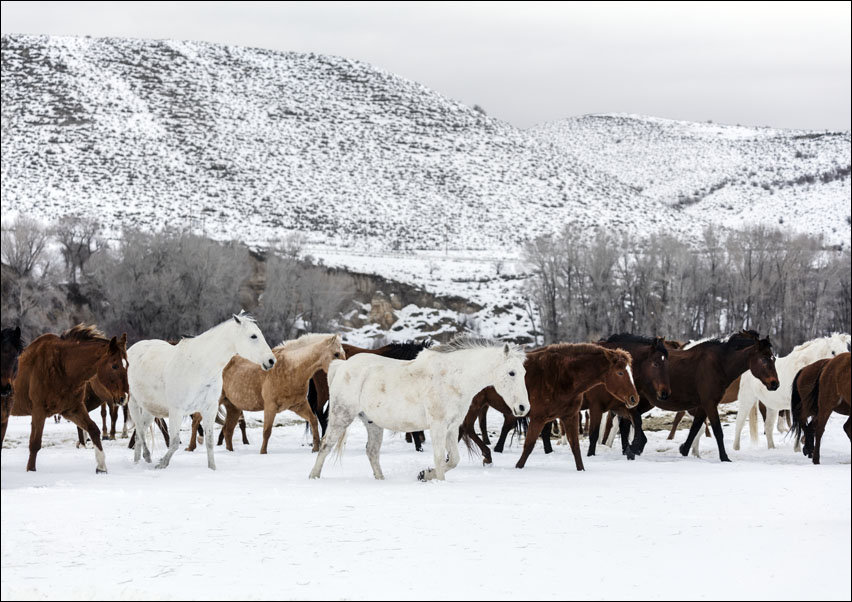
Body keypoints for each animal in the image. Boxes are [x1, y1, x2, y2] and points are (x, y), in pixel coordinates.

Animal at [8, 326, 129, 472]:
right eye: (114, 366)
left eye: (127, 365)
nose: (124, 397)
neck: (61, 367)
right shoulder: (39, 411)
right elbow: (35, 443)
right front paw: (31, 470)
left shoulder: (72, 410)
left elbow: (93, 429)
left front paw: (101, 467)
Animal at [126, 312, 276, 472]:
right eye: (253, 336)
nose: (271, 360)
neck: (199, 366)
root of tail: (130, 350)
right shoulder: (176, 411)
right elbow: (174, 442)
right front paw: (162, 464)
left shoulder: (209, 409)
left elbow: (209, 441)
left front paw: (212, 468)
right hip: (133, 403)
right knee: (140, 432)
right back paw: (146, 458)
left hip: (149, 409)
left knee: (139, 434)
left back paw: (138, 462)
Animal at [310, 336, 528, 480]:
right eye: (511, 373)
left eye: (524, 372)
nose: (523, 407)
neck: (452, 378)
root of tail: (340, 366)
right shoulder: (438, 426)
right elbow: (440, 457)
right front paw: (438, 480)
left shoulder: (451, 427)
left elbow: (453, 459)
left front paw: (425, 474)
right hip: (342, 415)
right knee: (326, 445)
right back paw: (314, 476)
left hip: (373, 423)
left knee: (371, 451)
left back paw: (381, 479)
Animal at [620, 330, 780, 462]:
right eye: (764, 360)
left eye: (774, 359)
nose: (775, 384)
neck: (719, 363)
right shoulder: (710, 403)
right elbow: (717, 431)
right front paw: (724, 457)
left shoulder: (703, 405)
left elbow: (695, 428)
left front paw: (684, 450)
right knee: (630, 419)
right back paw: (633, 447)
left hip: (644, 402)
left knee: (626, 421)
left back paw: (628, 449)